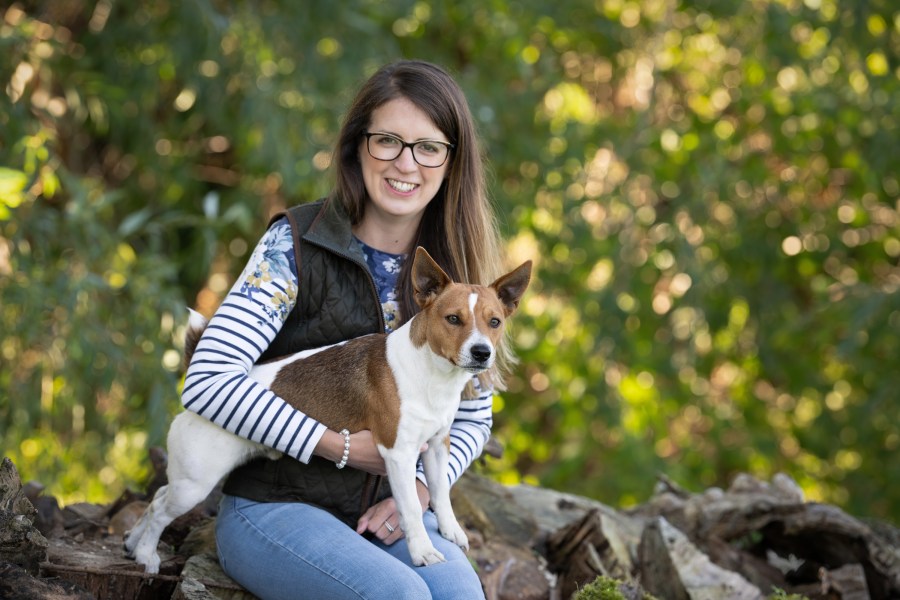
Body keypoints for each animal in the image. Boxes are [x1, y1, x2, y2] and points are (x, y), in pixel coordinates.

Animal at [126, 247, 536, 572]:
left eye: (494, 322)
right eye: (453, 319)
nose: (482, 353)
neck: (432, 374)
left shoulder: (436, 447)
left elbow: (440, 494)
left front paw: (451, 531)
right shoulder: (399, 454)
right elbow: (411, 510)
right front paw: (422, 551)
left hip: (188, 482)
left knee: (157, 498)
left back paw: (132, 542)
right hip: (196, 483)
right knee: (160, 508)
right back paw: (146, 554)